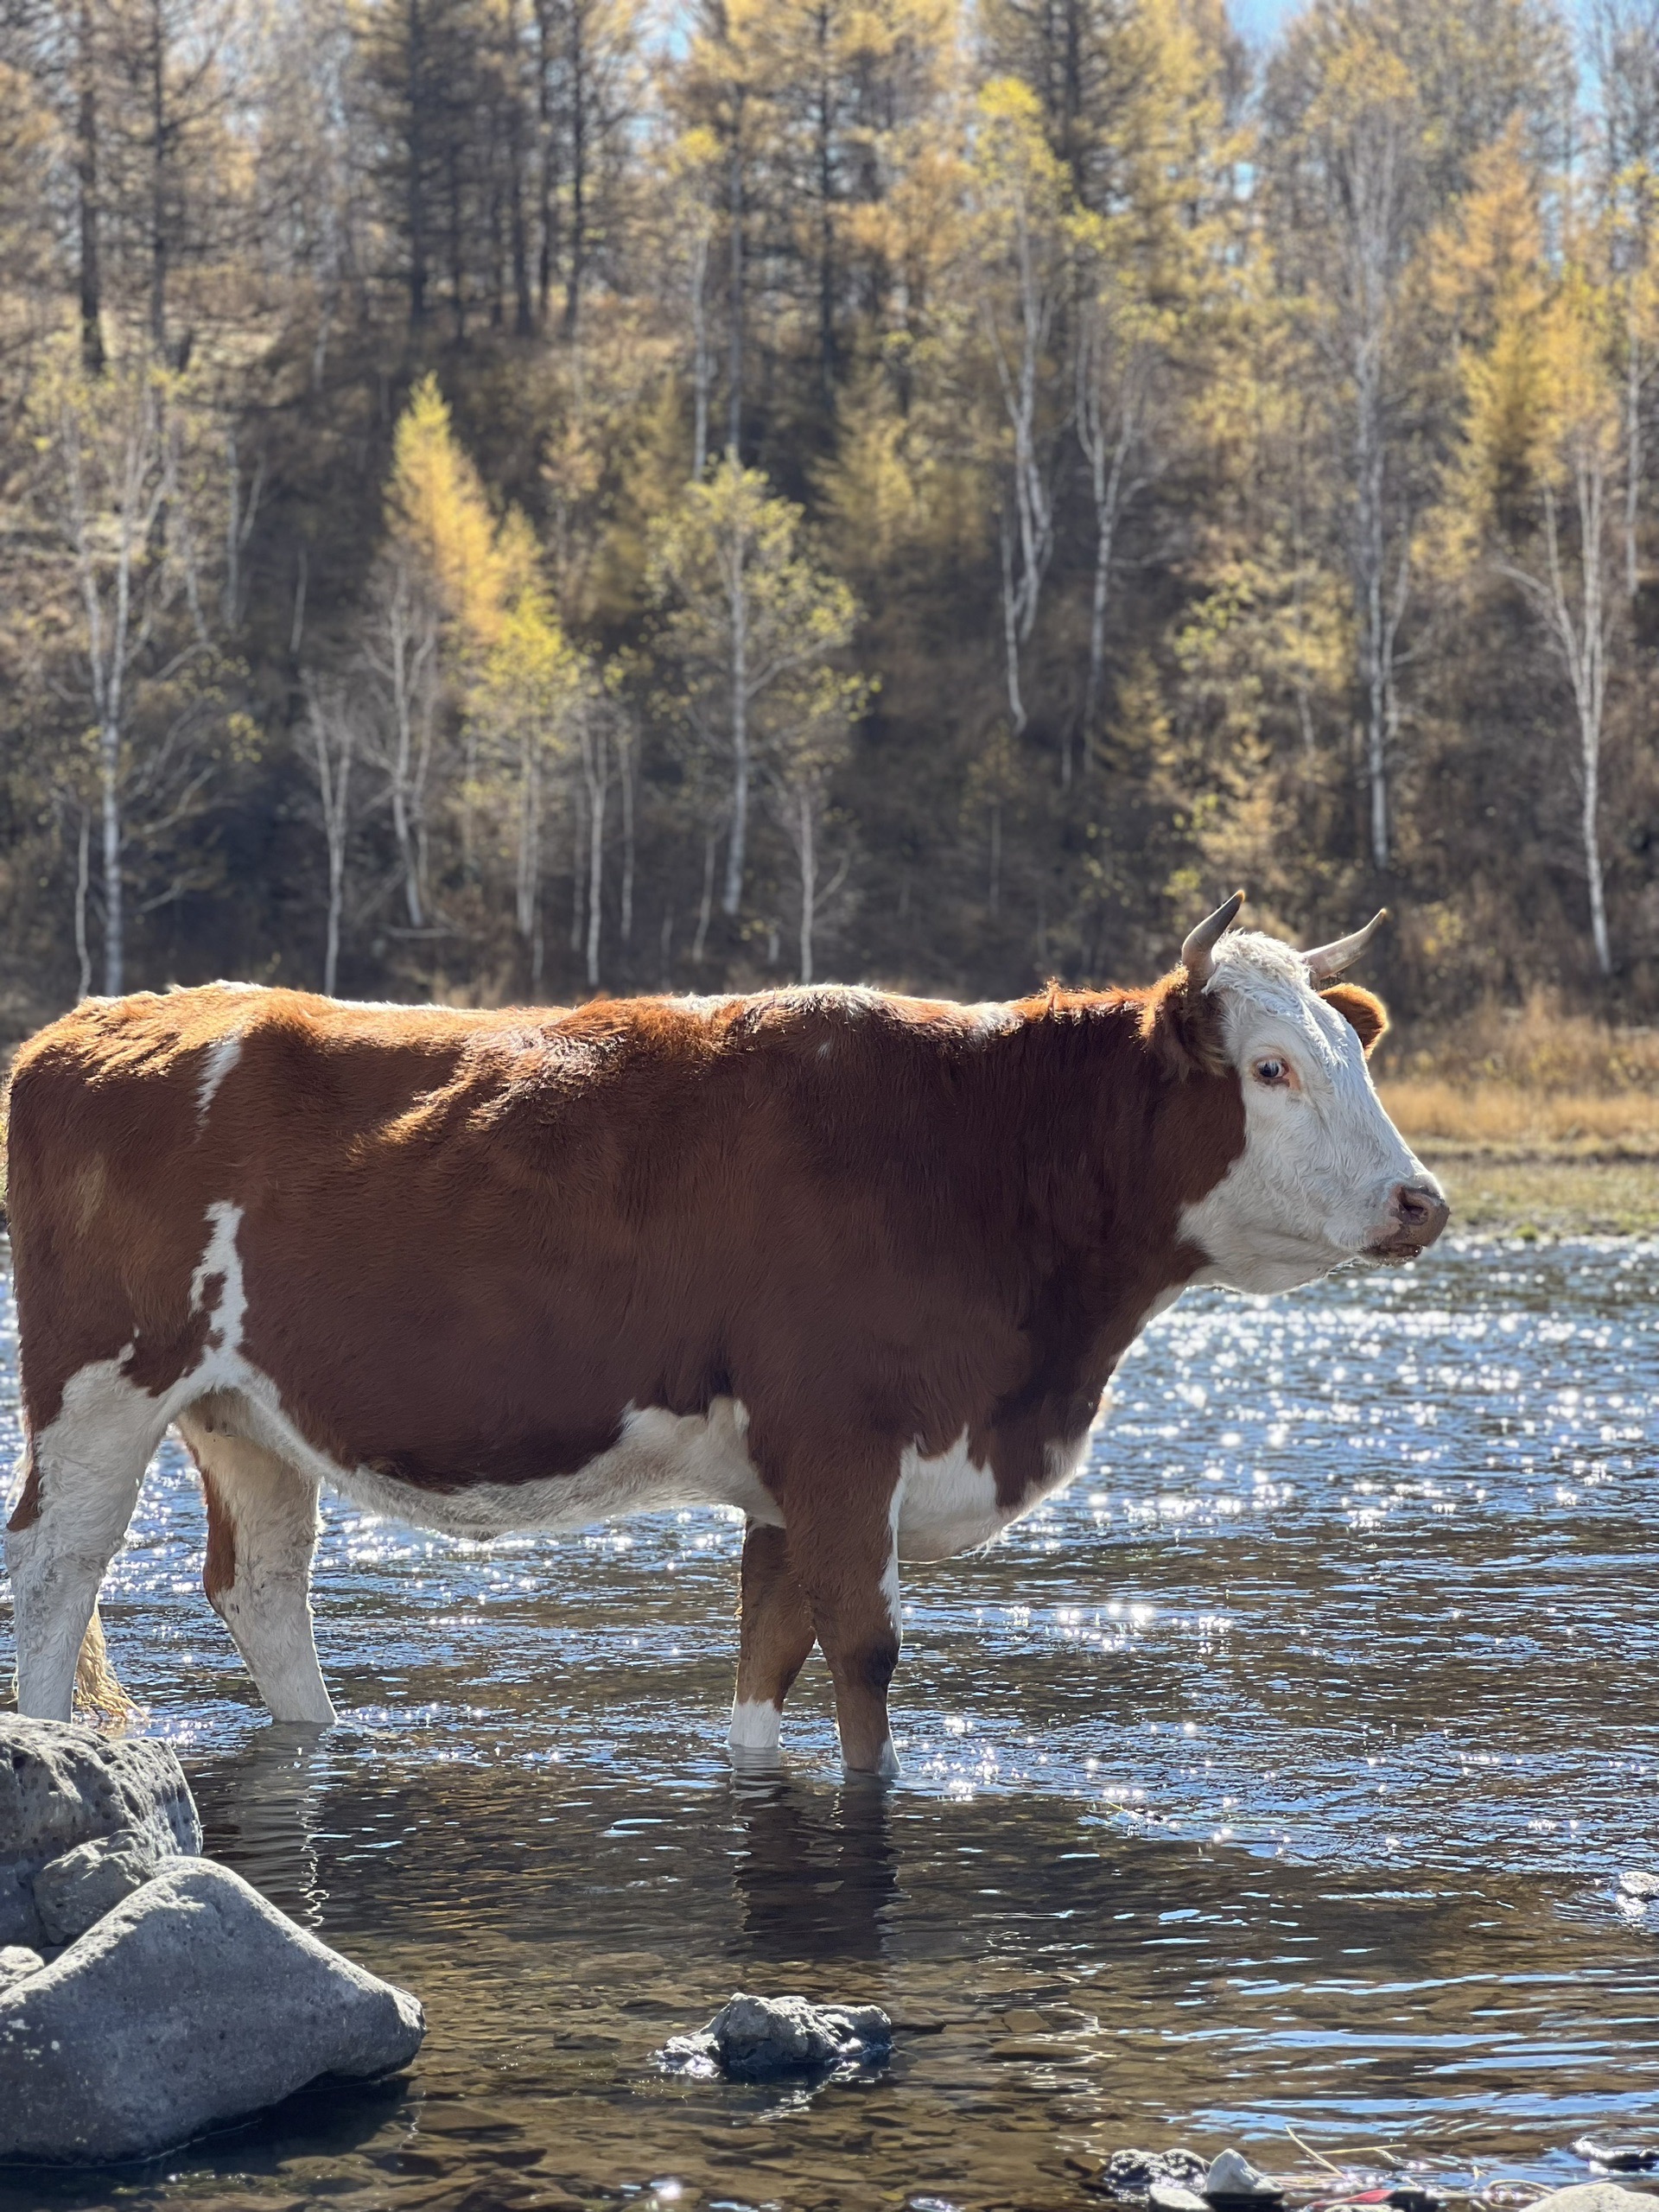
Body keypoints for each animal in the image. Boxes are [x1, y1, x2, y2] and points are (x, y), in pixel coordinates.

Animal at [6, 889, 1451, 1770]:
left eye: (1357, 1057)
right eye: (1269, 1069)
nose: (1419, 1200)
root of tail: (107, 1016)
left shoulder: (786, 1474)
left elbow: (768, 1657)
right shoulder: (844, 1443)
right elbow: (863, 1662)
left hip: (244, 1410)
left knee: (261, 1584)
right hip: (101, 1390)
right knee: (59, 1571)